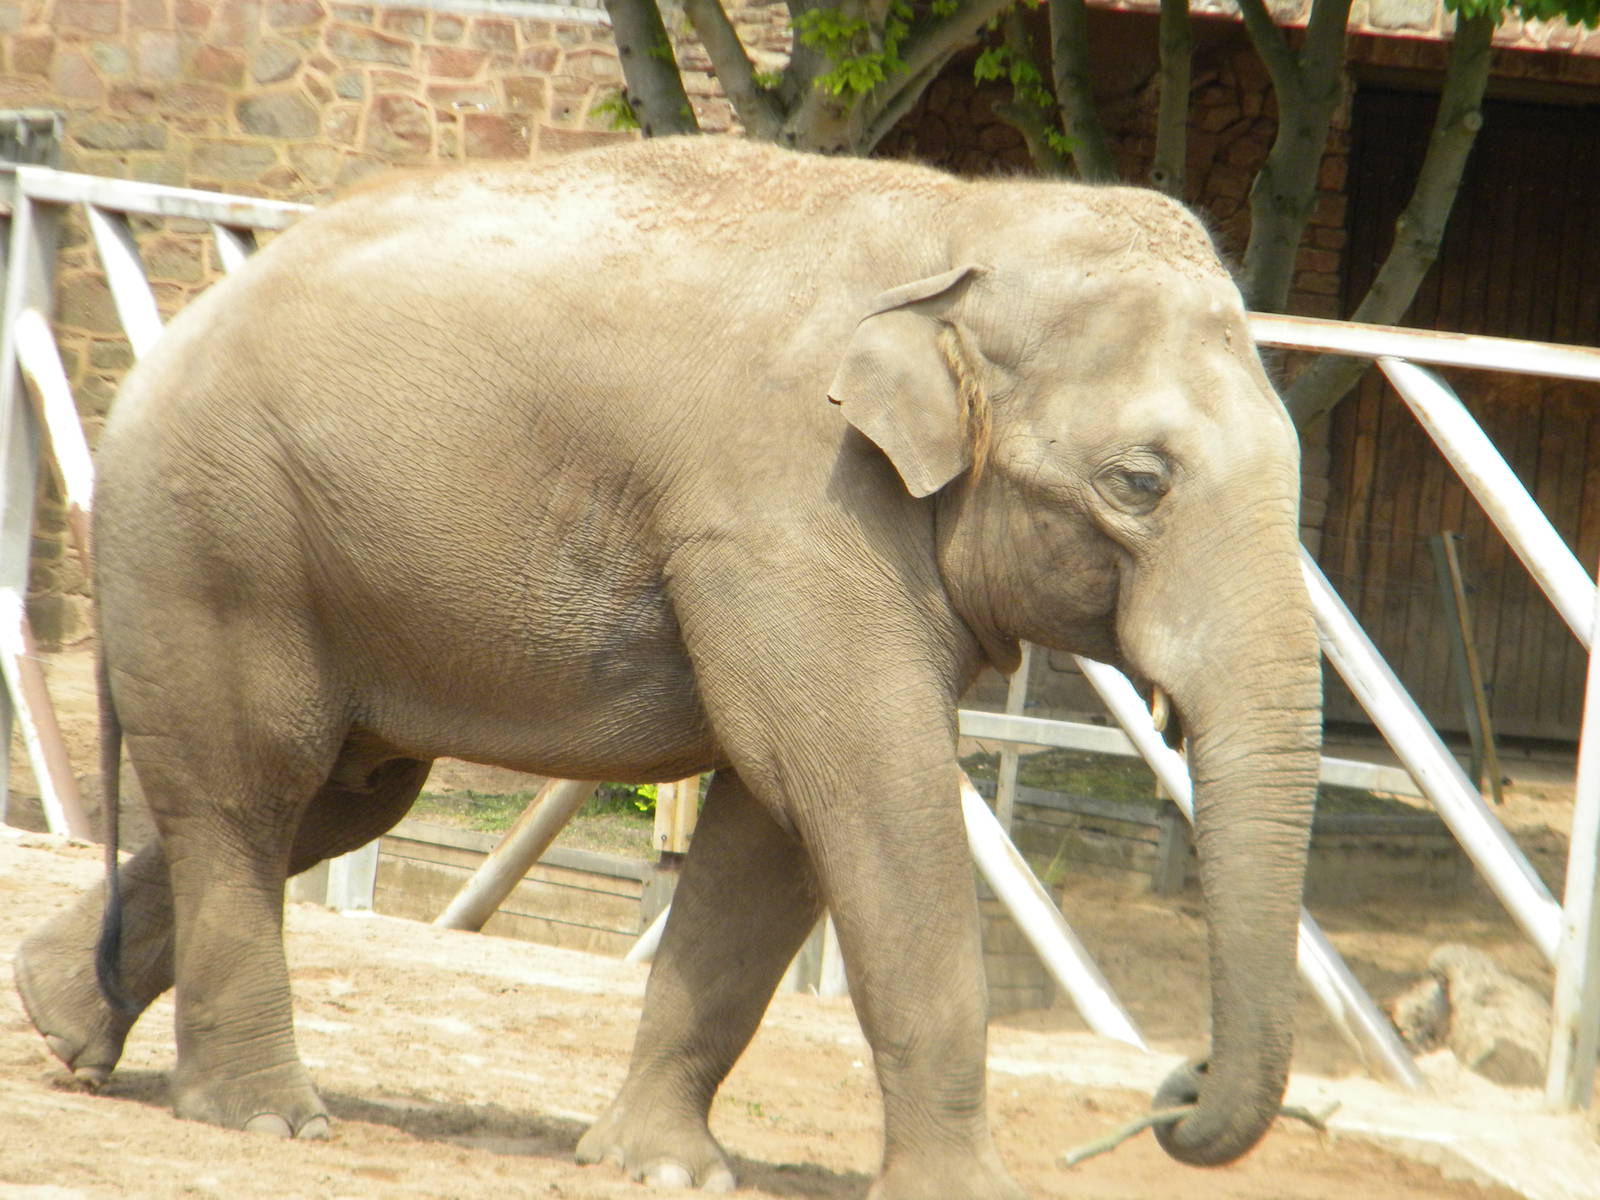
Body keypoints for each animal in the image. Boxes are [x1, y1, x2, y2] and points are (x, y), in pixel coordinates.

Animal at [13, 136, 1321, 1199]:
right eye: (1139, 482)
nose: (1179, 1086)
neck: (968, 223)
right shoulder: (789, 510)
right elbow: (864, 790)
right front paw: (967, 1194)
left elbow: (775, 833)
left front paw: (660, 1167)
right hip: (220, 538)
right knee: (253, 790)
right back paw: (266, 1120)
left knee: (341, 796)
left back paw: (58, 1020)